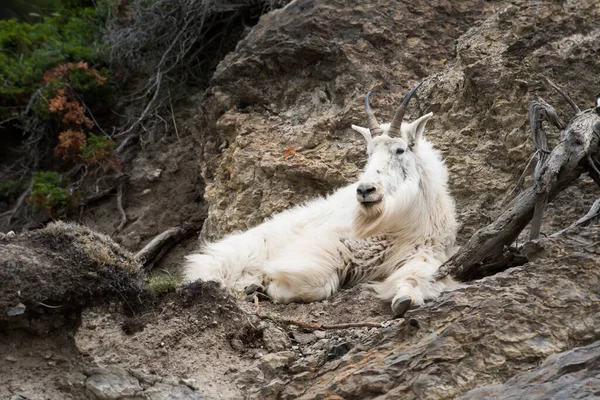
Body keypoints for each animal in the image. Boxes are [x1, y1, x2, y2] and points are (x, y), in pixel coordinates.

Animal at [185, 83, 458, 318]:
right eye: (369, 153)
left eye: (400, 150)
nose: (365, 190)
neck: (398, 222)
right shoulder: (328, 245)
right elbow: (316, 283)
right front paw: (271, 286)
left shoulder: (424, 251)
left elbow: (417, 276)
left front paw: (405, 299)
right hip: (238, 256)